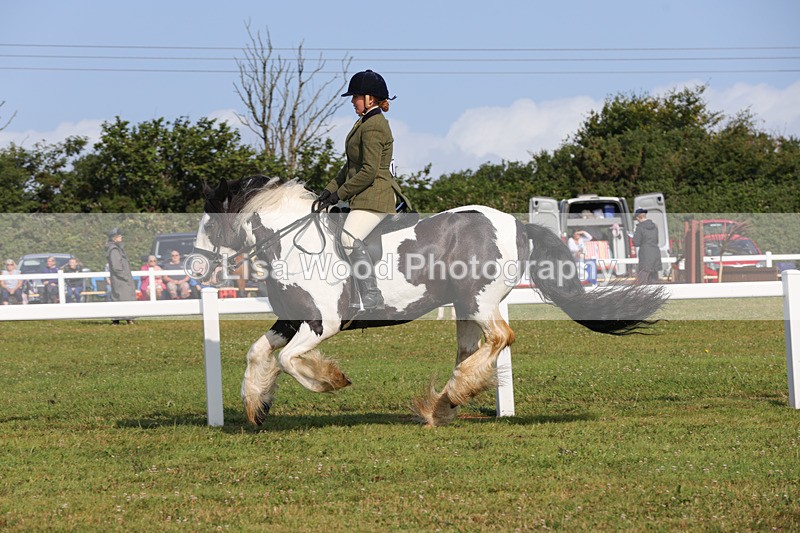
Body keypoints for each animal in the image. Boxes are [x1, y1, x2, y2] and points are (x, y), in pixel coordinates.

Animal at [191, 176, 667, 427]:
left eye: (210, 226)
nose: (195, 269)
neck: (291, 244)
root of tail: (517, 225)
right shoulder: (292, 319)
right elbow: (258, 353)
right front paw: (256, 406)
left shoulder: (324, 322)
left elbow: (291, 361)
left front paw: (330, 380)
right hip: (465, 308)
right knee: (473, 349)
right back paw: (445, 401)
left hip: (479, 301)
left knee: (501, 338)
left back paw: (450, 397)